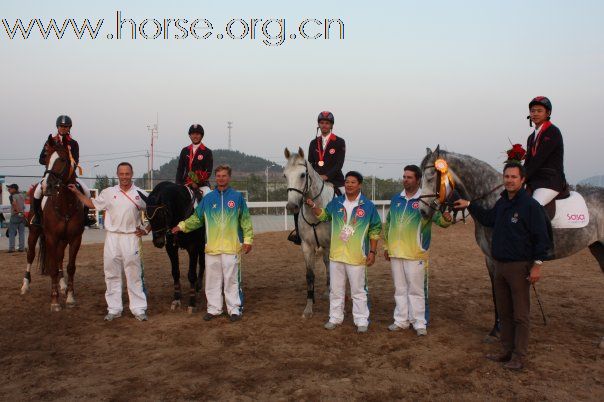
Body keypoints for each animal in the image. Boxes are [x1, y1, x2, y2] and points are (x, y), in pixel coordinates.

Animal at [38, 135, 86, 310]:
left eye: (63, 159)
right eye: (46, 158)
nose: (47, 185)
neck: (65, 204)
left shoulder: (75, 238)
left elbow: (70, 267)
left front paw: (70, 297)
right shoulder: (51, 237)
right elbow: (52, 268)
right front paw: (54, 301)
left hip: (63, 240)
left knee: (59, 259)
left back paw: (64, 286)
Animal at [139, 181, 208, 312]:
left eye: (162, 215)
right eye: (147, 216)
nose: (158, 242)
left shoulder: (193, 247)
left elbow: (191, 274)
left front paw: (192, 303)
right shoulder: (171, 247)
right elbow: (175, 272)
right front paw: (176, 299)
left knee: (202, 262)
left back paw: (199, 286)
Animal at [284, 147, 336, 318]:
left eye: (302, 175)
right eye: (285, 175)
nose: (292, 206)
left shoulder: (330, 244)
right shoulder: (306, 246)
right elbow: (310, 275)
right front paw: (308, 306)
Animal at [420, 148, 604, 346]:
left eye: (431, 176)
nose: (422, 211)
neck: (497, 200)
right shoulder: (489, 258)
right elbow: (496, 292)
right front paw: (495, 330)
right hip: (598, 249)